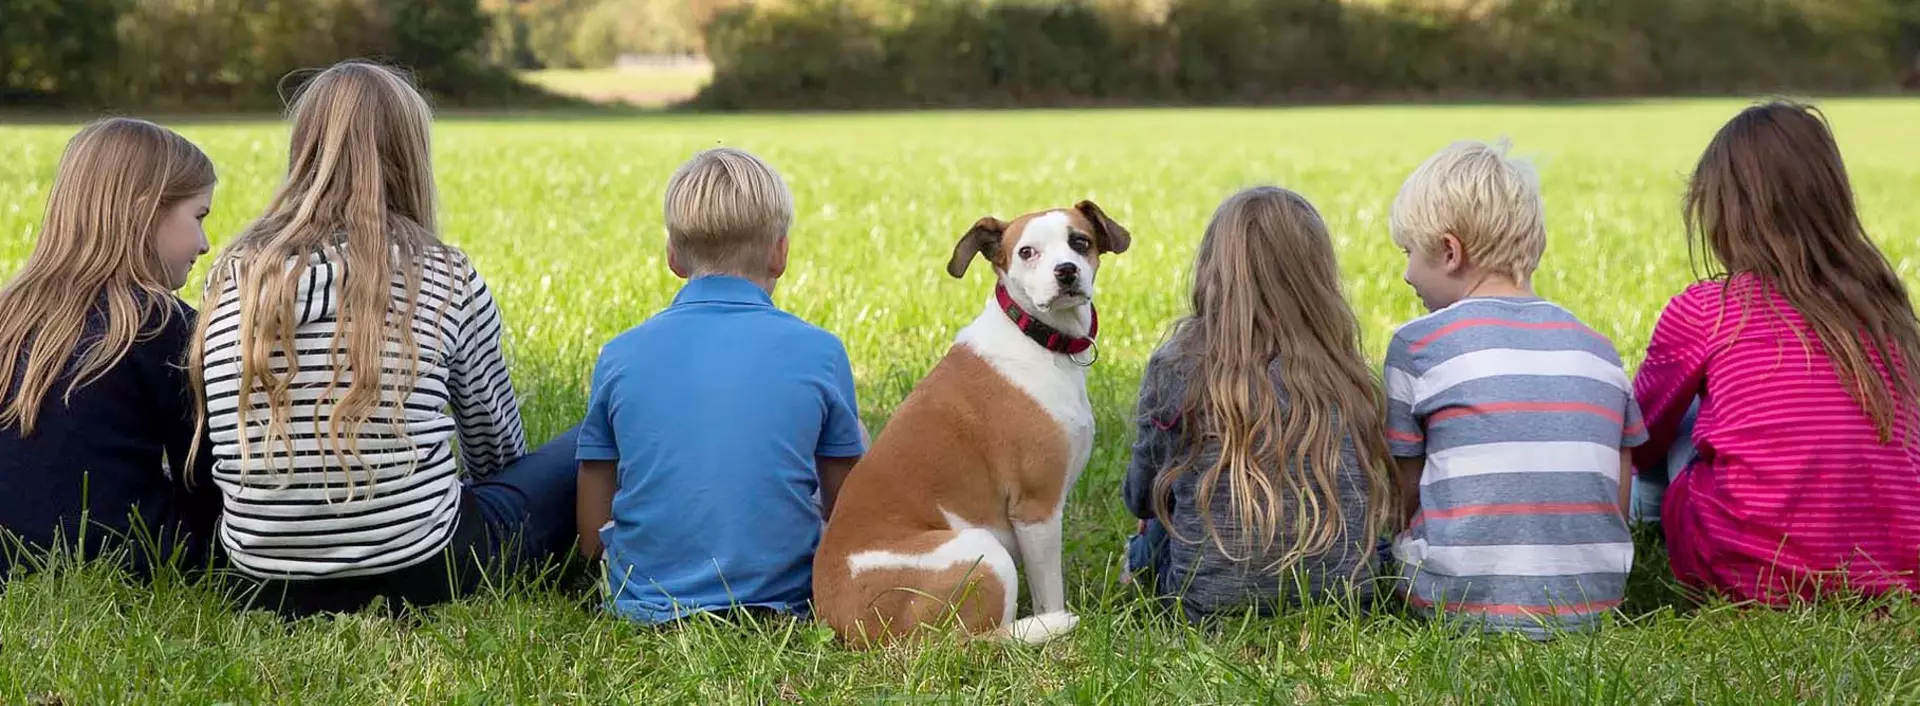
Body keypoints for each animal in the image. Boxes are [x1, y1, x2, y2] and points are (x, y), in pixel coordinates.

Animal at [806, 201, 1121, 648]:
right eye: (1026, 252)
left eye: (1080, 241)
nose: (1066, 271)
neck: (1035, 339)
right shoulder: (1036, 508)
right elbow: (1049, 589)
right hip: (983, 551)